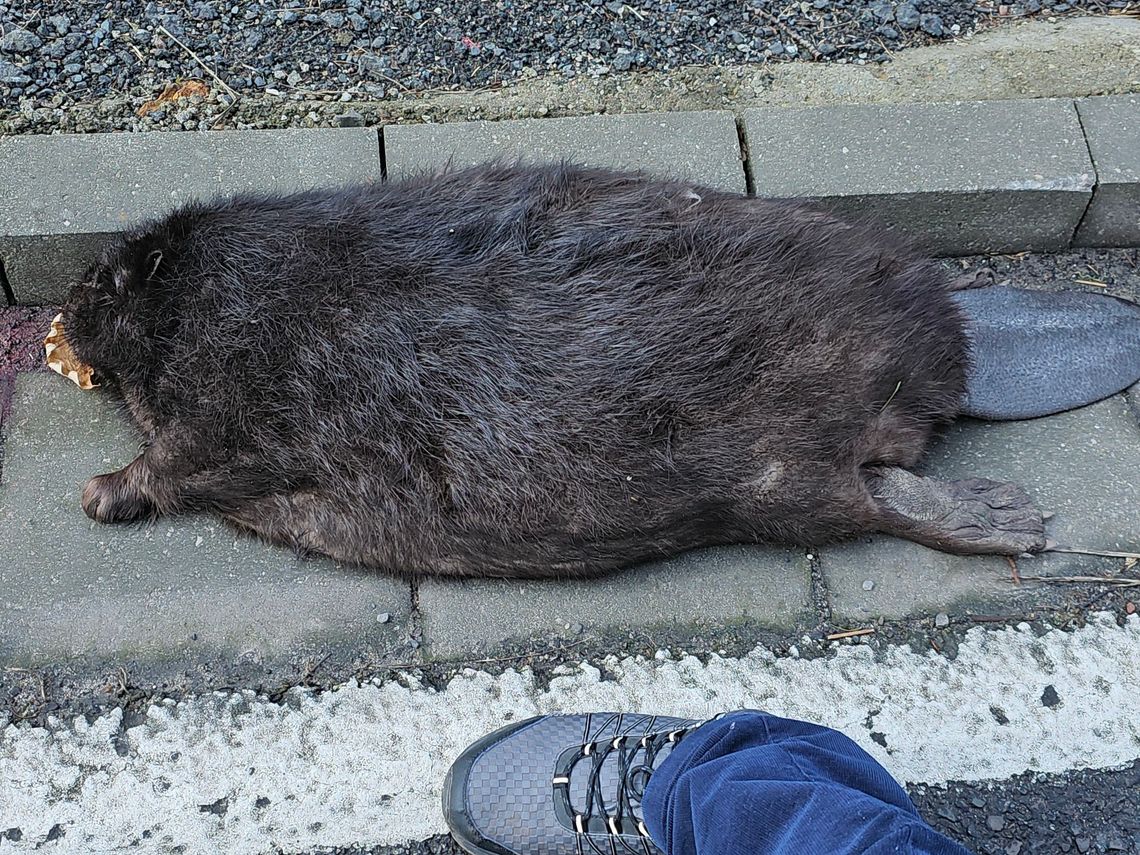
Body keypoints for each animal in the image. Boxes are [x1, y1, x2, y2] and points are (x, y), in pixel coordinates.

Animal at [60, 161, 1140, 579]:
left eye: (105, 278)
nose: (66, 307)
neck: (228, 288)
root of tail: (965, 358)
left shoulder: (242, 382)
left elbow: (190, 457)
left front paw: (100, 490)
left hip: (786, 472)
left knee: (867, 493)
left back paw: (1008, 518)